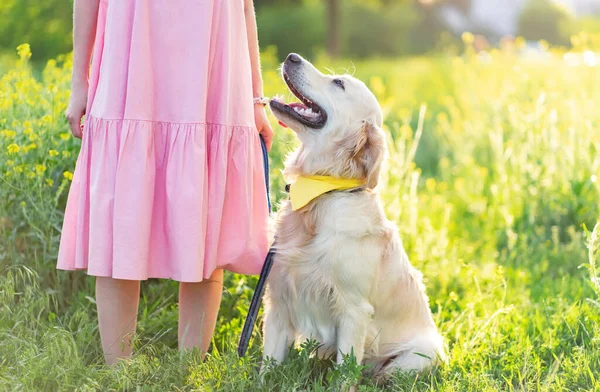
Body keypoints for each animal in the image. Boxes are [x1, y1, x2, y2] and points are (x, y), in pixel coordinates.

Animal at [264, 53, 446, 378]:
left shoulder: (353, 310)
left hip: (420, 354)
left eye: (338, 83)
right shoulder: (278, 300)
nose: (291, 57)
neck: (322, 191)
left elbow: (344, 373)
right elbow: (266, 368)